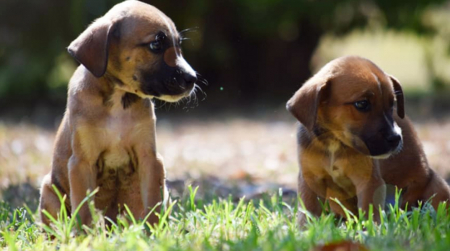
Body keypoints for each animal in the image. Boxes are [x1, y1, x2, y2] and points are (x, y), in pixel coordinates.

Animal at [39, 0, 198, 226]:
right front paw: (86, 234)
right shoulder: (82, 163)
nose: (192, 78)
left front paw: (154, 231)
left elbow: (153, 204)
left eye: (178, 45)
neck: (119, 100)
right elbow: (84, 211)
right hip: (49, 190)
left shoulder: (150, 158)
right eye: (156, 45)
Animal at [286, 56, 448, 224]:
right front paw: (305, 228)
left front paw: (370, 229)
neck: (335, 143)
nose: (396, 138)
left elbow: (368, 211)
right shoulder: (310, 180)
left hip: (437, 186)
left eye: (392, 104)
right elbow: (308, 211)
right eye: (362, 104)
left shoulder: (369, 181)